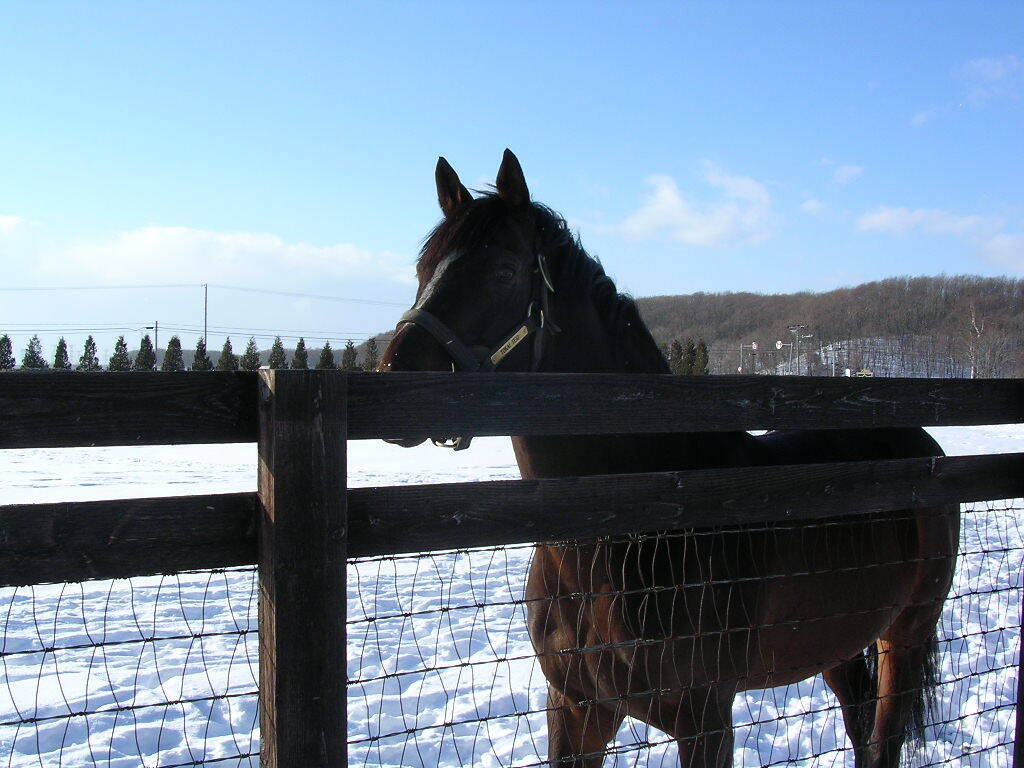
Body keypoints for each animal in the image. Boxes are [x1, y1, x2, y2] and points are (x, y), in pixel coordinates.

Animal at [379, 149, 959, 768]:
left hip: (905, 634)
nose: (394, 374)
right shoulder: (576, 709)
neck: (623, 535)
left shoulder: (703, 721)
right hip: (839, 643)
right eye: (423, 270)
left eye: (504, 272)